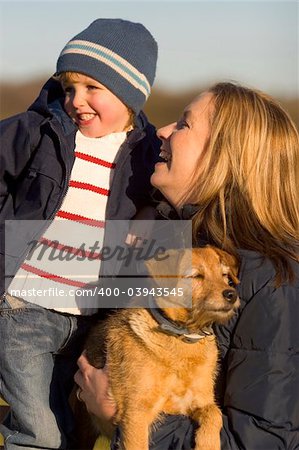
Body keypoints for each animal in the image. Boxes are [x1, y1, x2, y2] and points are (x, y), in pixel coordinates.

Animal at [81, 246, 239, 450]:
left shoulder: (200, 401)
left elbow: (214, 413)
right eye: (196, 276)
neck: (183, 339)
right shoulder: (136, 415)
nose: (231, 294)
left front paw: (208, 444)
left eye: (225, 275)